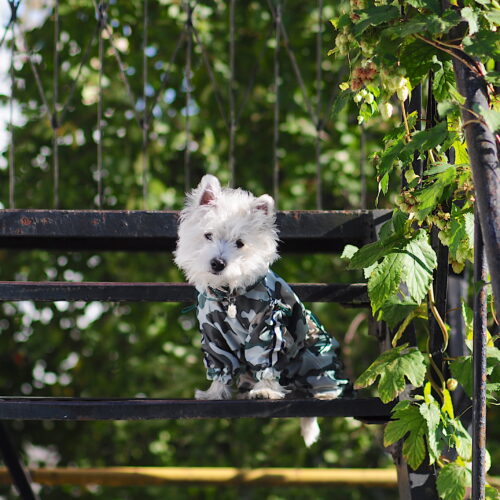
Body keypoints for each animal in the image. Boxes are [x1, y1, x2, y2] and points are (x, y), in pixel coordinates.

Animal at [174, 176, 350, 446]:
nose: (218, 263)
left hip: (316, 356)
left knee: (323, 379)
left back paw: (325, 394)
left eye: (240, 243)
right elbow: (220, 364)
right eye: (208, 235)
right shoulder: (214, 335)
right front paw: (214, 392)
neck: (230, 295)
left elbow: (266, 361)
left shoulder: (268, 327)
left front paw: (266, 391)